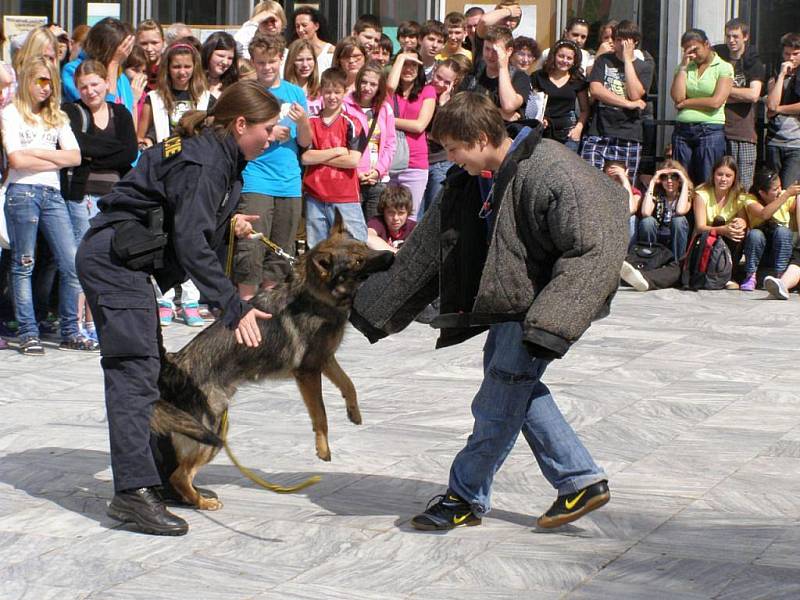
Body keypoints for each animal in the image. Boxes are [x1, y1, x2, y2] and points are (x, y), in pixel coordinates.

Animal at [149, 213, 394, 508]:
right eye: (357, 261)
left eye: (364, 248)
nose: (391, 256)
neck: (315, 294)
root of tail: (174, 365)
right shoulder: (308, 372)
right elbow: (321, 414)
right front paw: (323, 449)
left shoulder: (325, 360)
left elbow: (349, 384)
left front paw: (354, 412)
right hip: (212, 431)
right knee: (180, 476)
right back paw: (202, 502)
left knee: (177, 471)